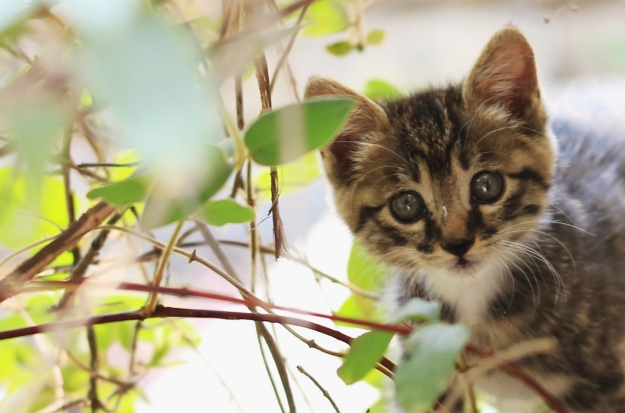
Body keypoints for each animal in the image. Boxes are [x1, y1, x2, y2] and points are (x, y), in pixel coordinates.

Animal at [304, 26, 624, 412]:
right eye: (406, 205)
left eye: (486, 186)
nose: (457, 244)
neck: (473, 300)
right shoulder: (426, 372)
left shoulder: (604, 383)